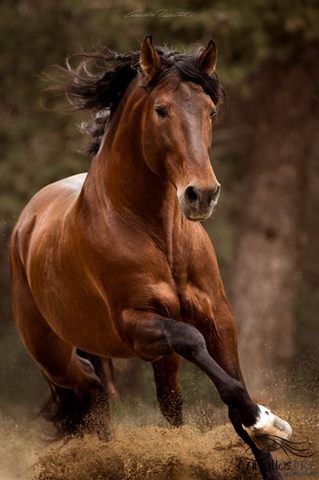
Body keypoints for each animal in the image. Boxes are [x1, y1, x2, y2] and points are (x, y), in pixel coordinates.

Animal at [10, 35, 294, 478]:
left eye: (210, 111)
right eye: (161, 110)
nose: (202, 194)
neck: (158, 236)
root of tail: (29, 220)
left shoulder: (218, 315)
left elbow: (232, 388)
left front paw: (263, 437)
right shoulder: (136, 325)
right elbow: (196, 346)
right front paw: (264, 420)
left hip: (157, 358)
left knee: (160, 404)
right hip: (54, 354)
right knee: (91, 387)